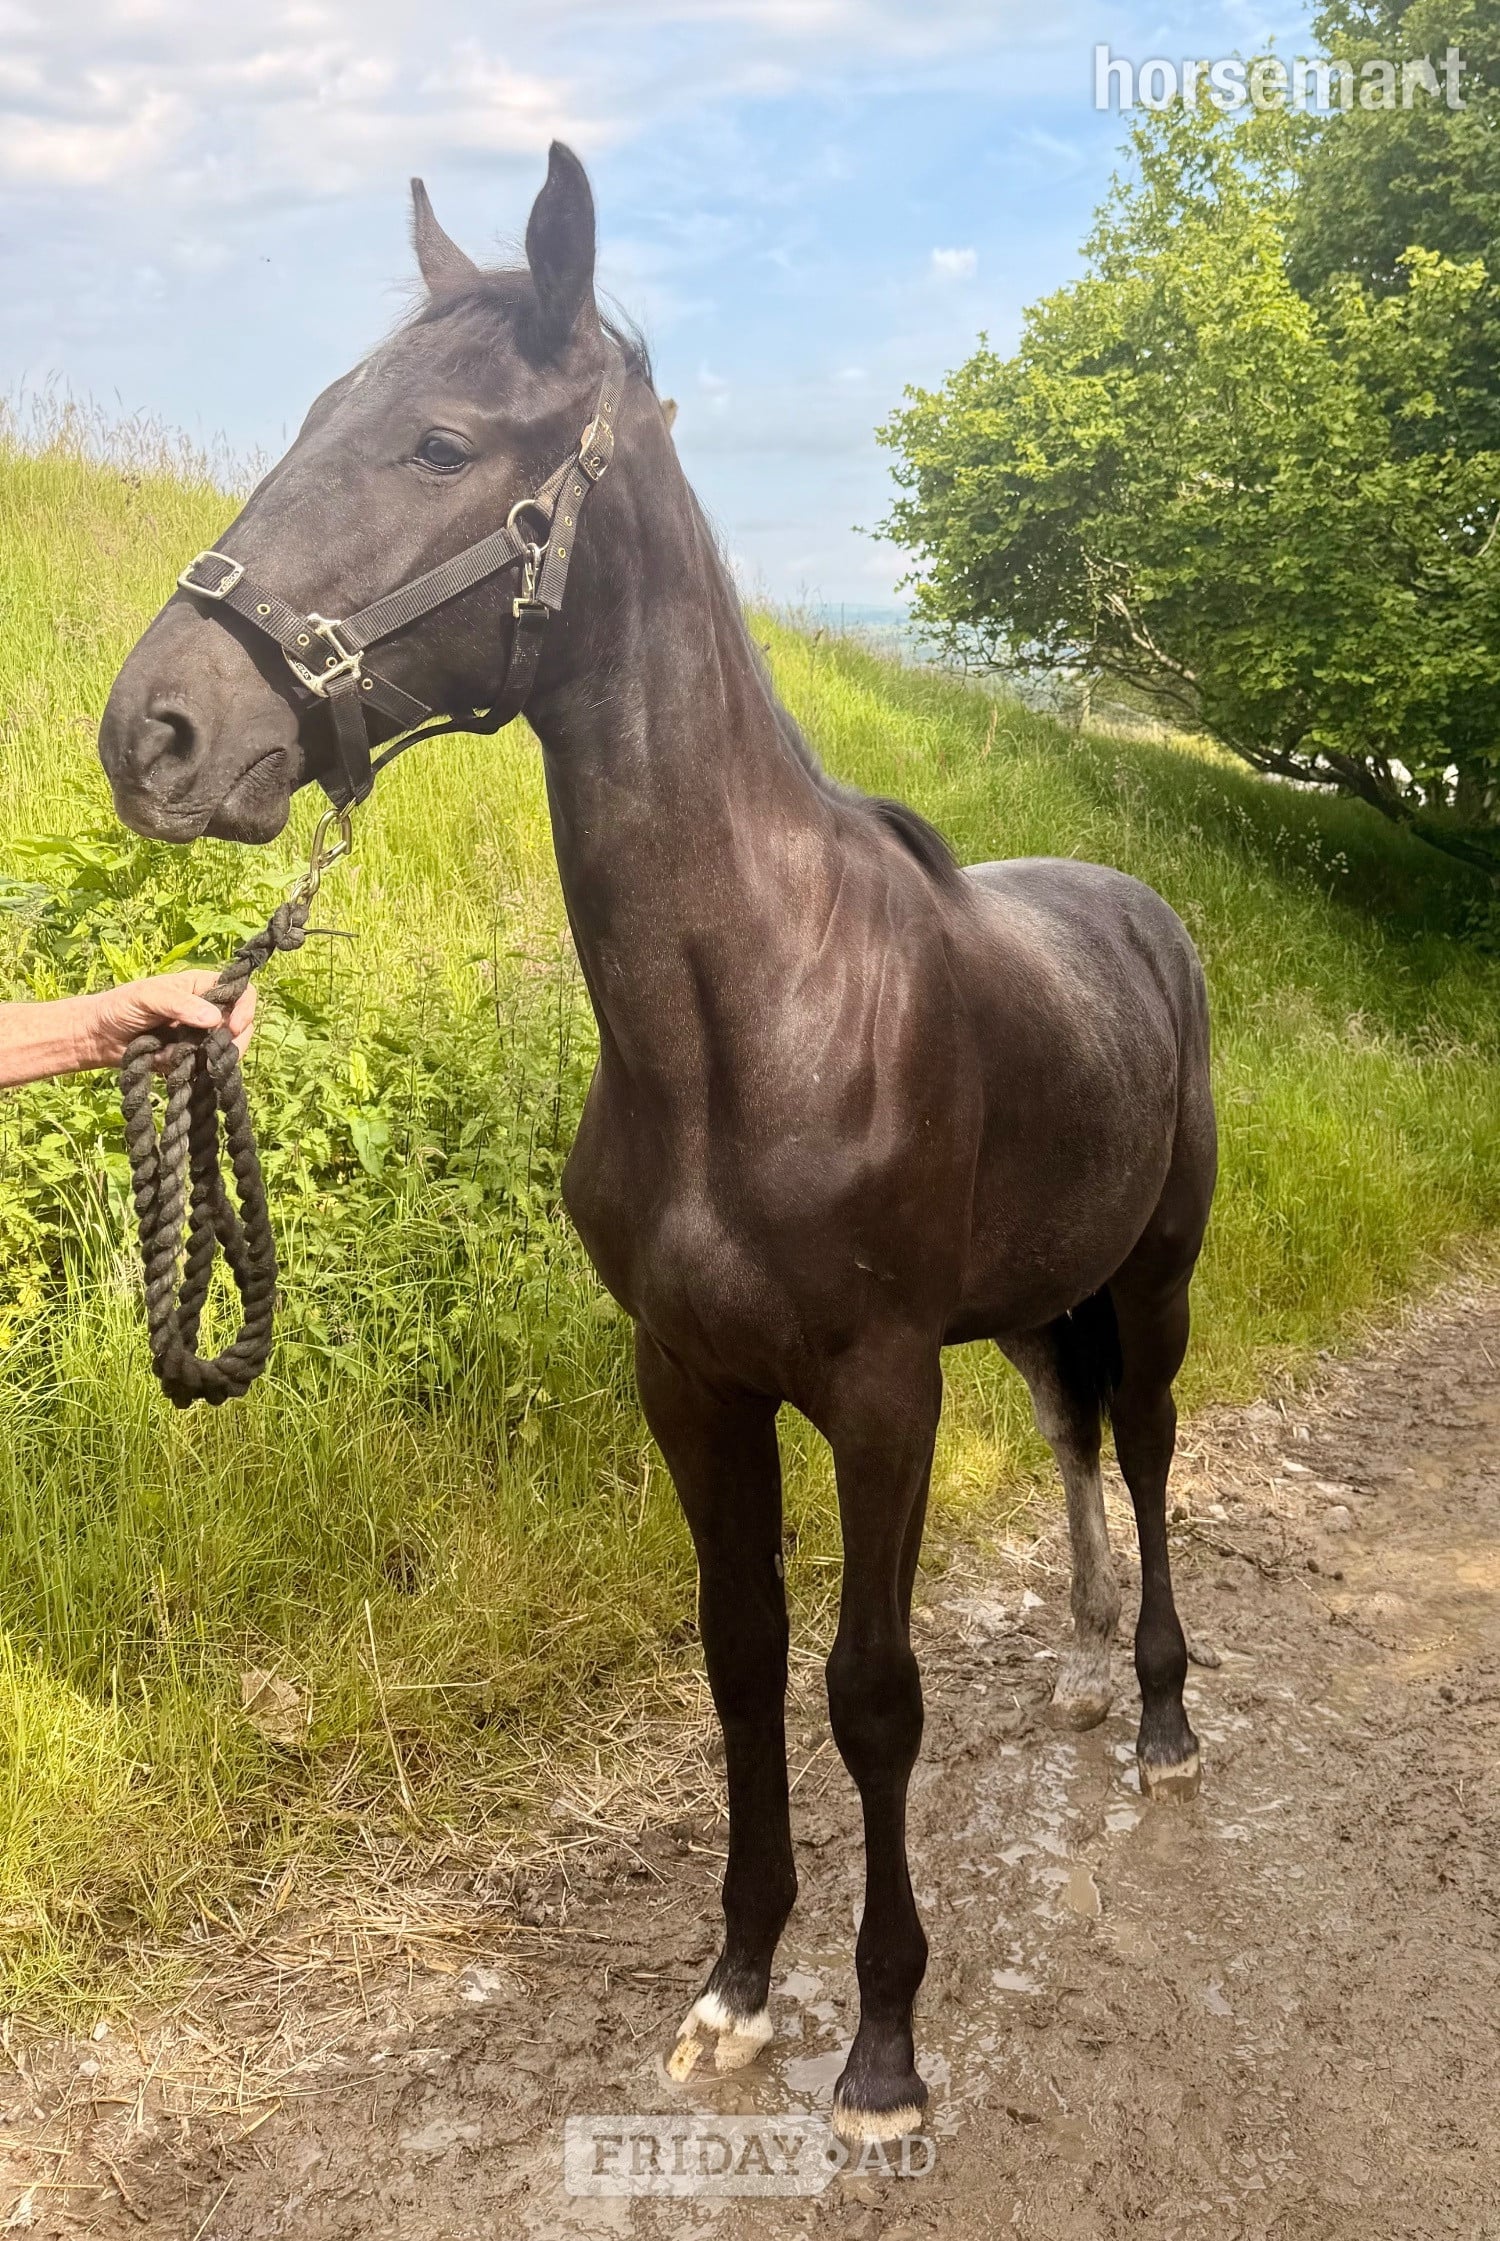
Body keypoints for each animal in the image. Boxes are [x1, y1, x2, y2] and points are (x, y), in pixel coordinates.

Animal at [98, 144, 1217, 2144]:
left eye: (441, 444)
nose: (153, 732)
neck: (752, 1018)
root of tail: (1142, 910)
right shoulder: (690, 1380)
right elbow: (742, 1662)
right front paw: (739, 1984)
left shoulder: (878, 1390)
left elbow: (870, 1691)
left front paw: (882, 2047)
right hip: (1034, 1303)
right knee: (1078, 1435)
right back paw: (1090, 1670)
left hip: (1152, 1282)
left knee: (1152, 1453)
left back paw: (1160, 1717)